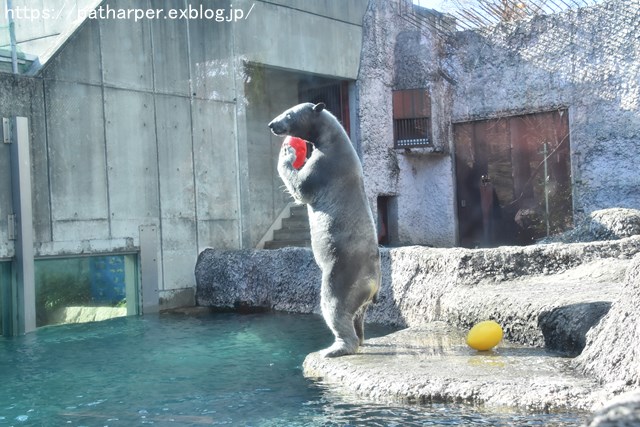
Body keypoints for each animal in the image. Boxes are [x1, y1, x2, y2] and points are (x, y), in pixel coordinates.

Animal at [268, 103, 382, 358]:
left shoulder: (325, 165)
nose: (272, 124)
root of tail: (374, 283)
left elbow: (301, 187)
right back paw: (360, 338)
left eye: (289, 114)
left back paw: (336, 348)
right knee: (358, 314)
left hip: (342, 273)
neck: (335, 139)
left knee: (335, 306)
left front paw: (288, 152)